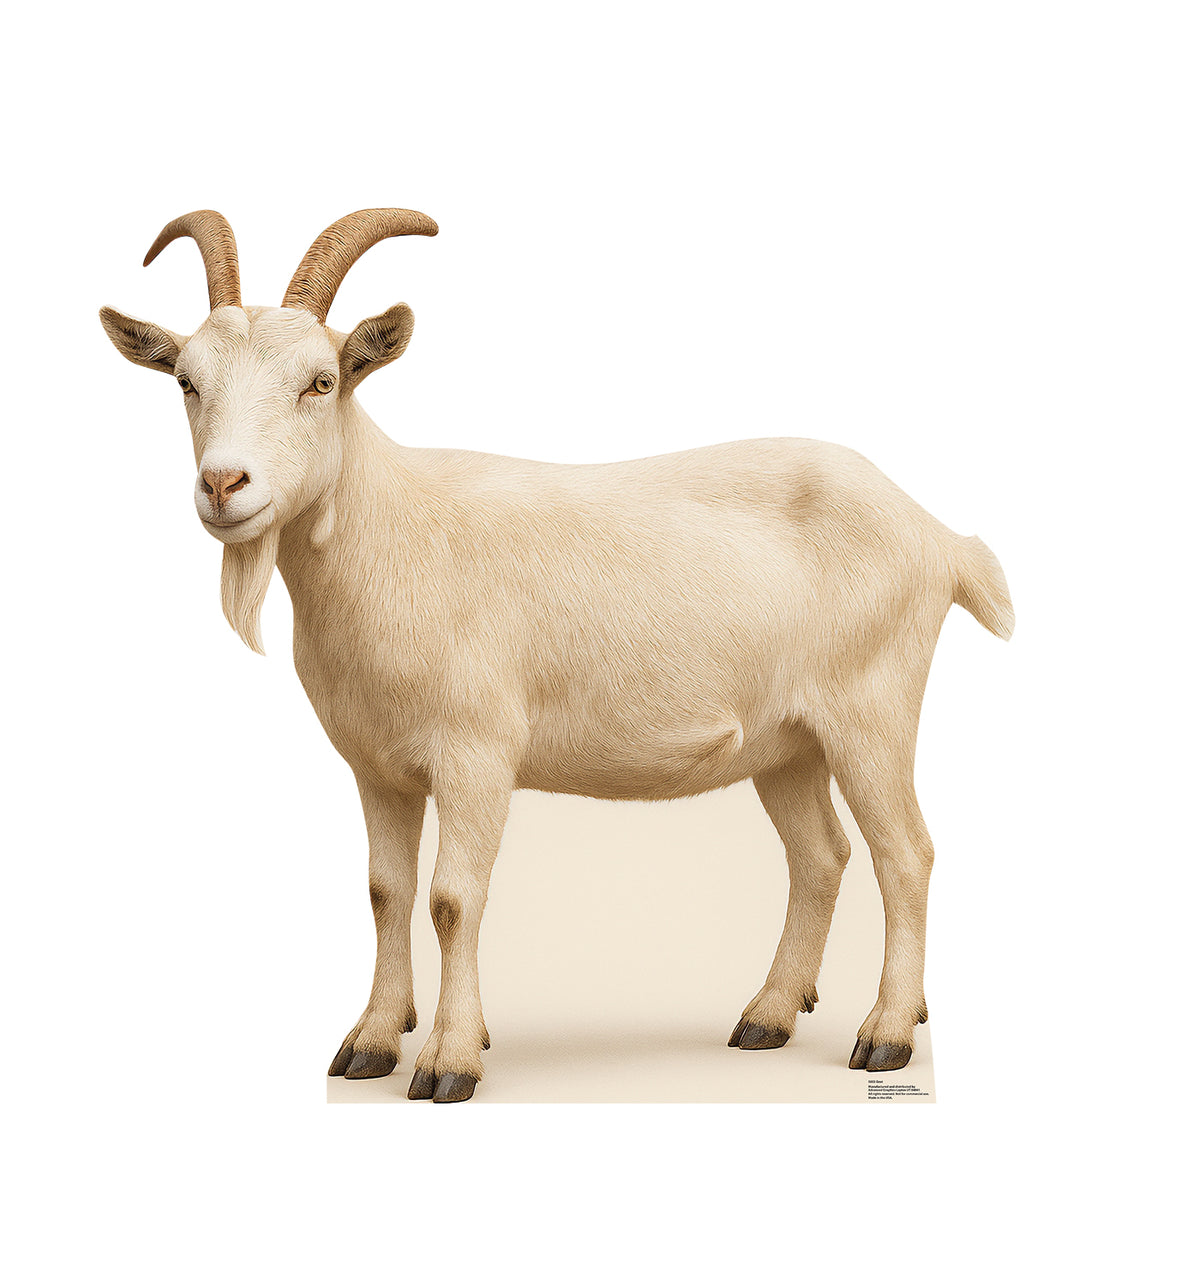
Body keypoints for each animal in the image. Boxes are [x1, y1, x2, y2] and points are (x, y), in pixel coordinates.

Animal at [101, 209, 1013, 1102]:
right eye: (186, 381)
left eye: (321, 382)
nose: (224, 485)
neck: (392, 531)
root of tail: (940, 537)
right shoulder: (375, 763)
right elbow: (385, 892)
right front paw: (371, 1042)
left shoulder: (475, 753)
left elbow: (452, 897)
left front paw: (449, 1060)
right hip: (787, 740)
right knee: (820, 856)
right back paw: (768, 1015)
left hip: (872, 707)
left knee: (906, 854)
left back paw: (887, 1032)